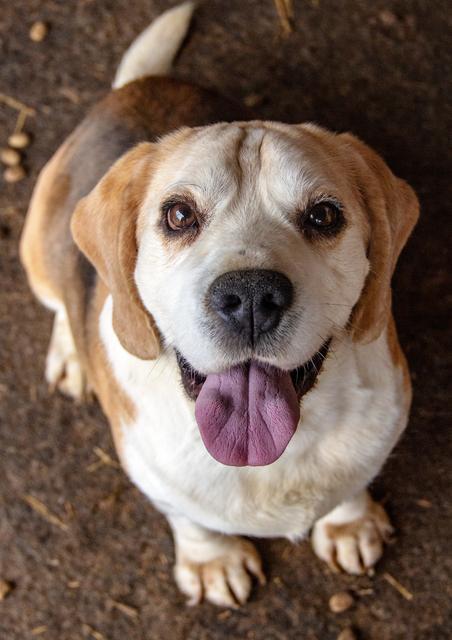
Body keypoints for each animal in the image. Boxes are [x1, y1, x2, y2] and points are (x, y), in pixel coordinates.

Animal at [19, 2, 418, 608]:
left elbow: (353, 482)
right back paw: (69, 355)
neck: (274, 456)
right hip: (39, 248)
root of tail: (136, 87)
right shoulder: (154, 472)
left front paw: (349, 523)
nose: (251, 297)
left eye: (324, 215)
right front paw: (212, 561)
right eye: (179, 215)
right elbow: (189, 518)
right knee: (61, 304)